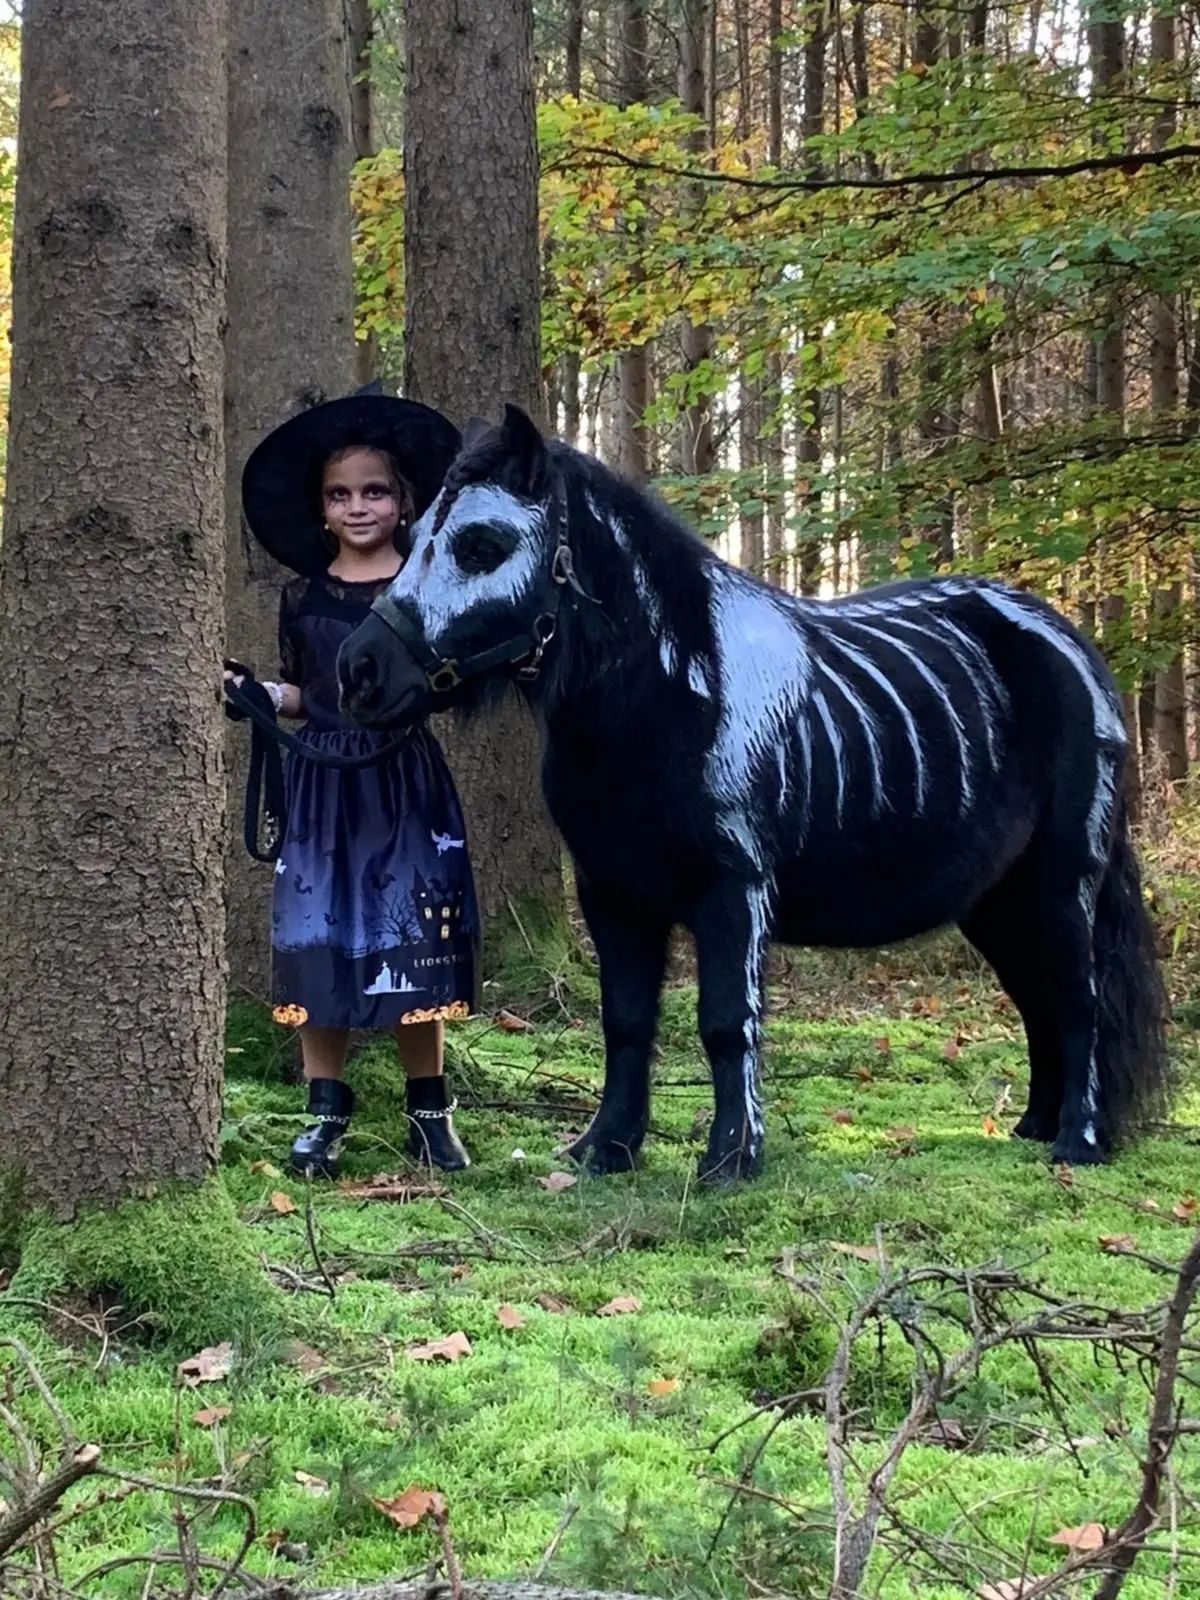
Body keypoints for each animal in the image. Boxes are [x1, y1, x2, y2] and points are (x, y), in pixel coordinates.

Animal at [339, 406, 1177, 1177]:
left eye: (483, 545)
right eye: (411, 540)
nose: (360, 670)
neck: (673, 697)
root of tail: (1071, 645)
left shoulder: (733, 888)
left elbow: (726, 1022)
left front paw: (731, 1159)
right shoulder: (613, 894)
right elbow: (626, 1022)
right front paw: (606, 1149)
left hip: (1062, 878)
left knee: (1078, 996)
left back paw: (1080, 1142)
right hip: (998, 899)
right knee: (1037, 999)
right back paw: (1035, 1128)